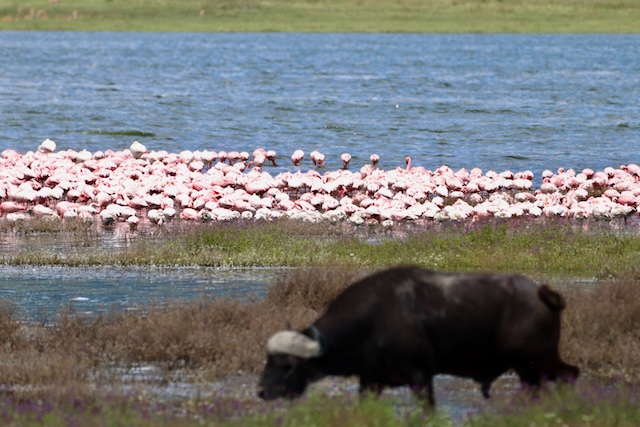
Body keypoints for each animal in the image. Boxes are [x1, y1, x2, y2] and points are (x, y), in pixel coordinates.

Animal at [256, 266, 580, 410]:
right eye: (267, 361)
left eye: (287, 365)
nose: (262, 391)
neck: (370, 319)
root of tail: (543, 294)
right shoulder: (370, 380)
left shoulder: (420, 376)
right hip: (530, 368)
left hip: (538, 360)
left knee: (571, 375)